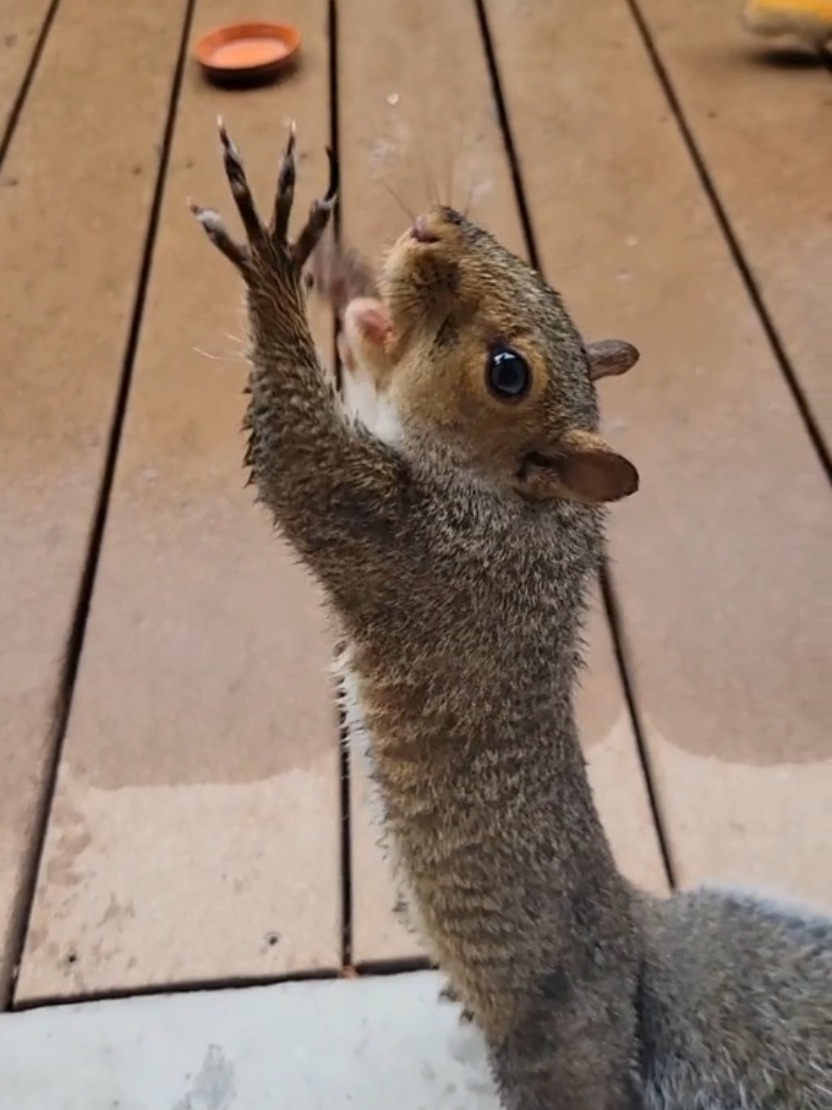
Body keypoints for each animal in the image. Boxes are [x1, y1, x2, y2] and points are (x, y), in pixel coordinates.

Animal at [191, 121, 832, 1110]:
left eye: (508, 372)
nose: (433, 225)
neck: (522, 502)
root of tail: (631, 961)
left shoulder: (416, 543)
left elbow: (301, 463)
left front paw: (273, 264)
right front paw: (340, 274)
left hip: (558, 1053)